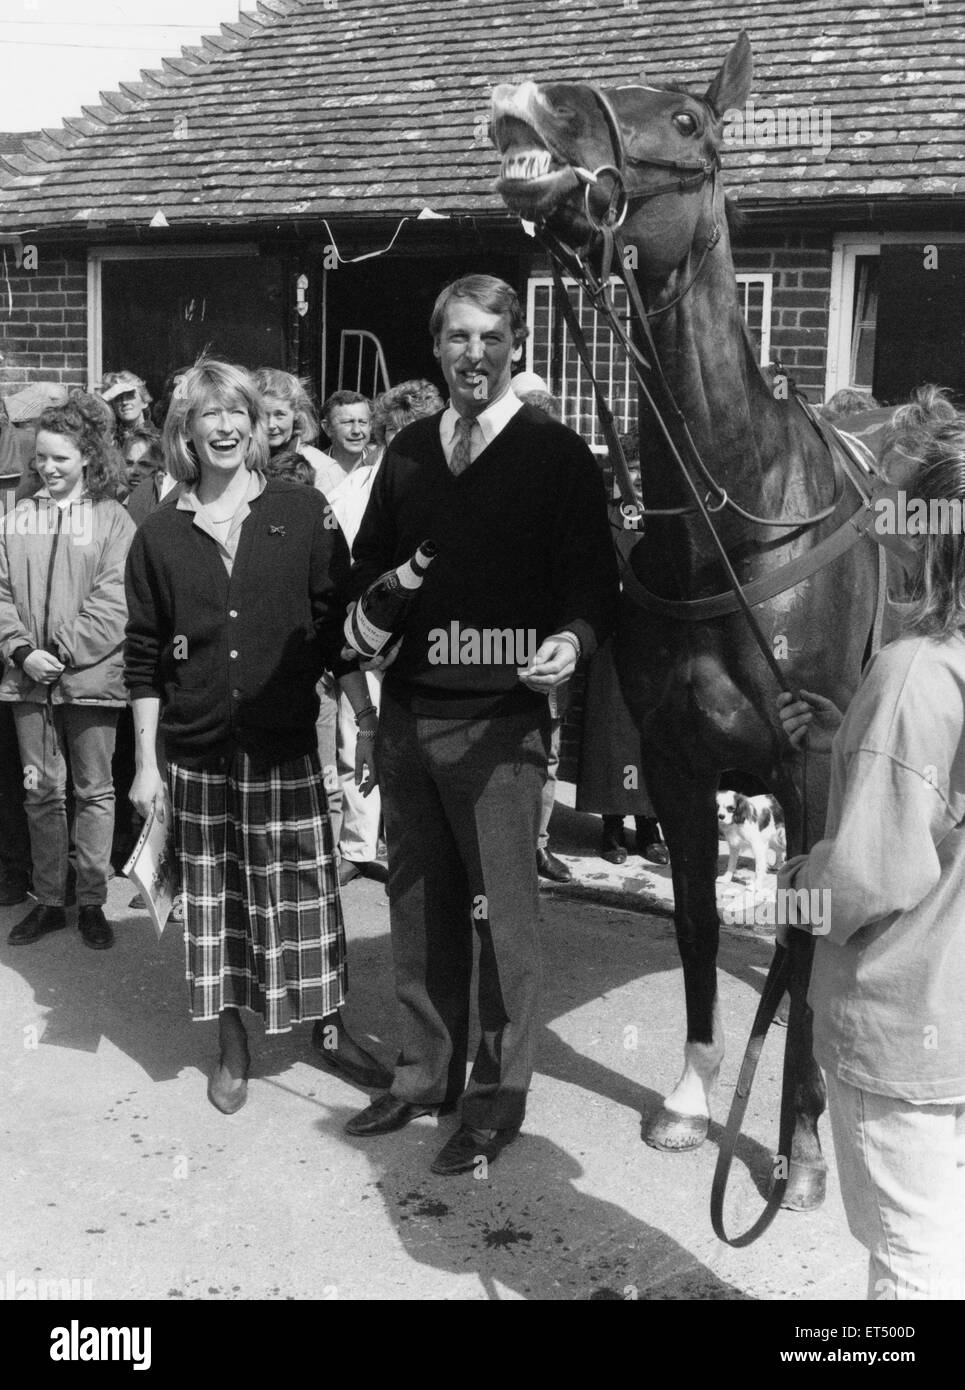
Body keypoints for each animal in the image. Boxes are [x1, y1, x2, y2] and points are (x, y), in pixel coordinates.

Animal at [495, 27, 889, 1212]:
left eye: (684, 120)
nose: (530, 96)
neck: (737, 519)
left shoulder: (810, 764)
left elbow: (804, 943)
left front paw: (800, 1144)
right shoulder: (673, 761)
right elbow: (699, 925)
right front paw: (687, 1099)